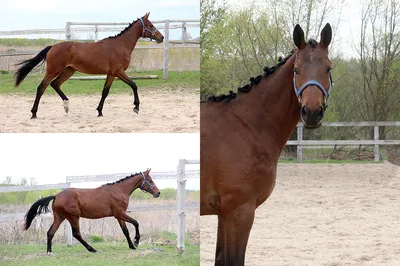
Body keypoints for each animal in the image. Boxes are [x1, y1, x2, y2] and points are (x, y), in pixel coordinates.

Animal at [14, 12, 164, 118]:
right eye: (150, 25)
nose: (161, 37)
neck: (120, 45)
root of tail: (52, 47)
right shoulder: (118, 72)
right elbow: (134, 85)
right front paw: (136, 107)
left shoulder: (111, 74)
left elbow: (105, 92)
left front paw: (99, 111)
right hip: (53, 71)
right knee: (42, 87)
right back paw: (34, 113)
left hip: (69, 71)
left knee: (55, 84)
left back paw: (66, 105)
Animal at [23, 168, 159, 254]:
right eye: (150, 180)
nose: (158, 193)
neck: (119, 191)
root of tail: (56, 196)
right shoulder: (119, 213)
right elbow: (136, 223)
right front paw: (136, 242)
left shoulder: (119, 216)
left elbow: (125, 231)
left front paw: (132, 246)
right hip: (73, 217)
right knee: (76, 234)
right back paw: (92, 249)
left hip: (60, 217)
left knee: (50, 232)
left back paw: (49, 252)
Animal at [200, 23, 334, 264]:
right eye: (296, 70)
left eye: (328, 69)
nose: (311, 113)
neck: (246, 126)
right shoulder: (239, 212)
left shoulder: (224, 214)